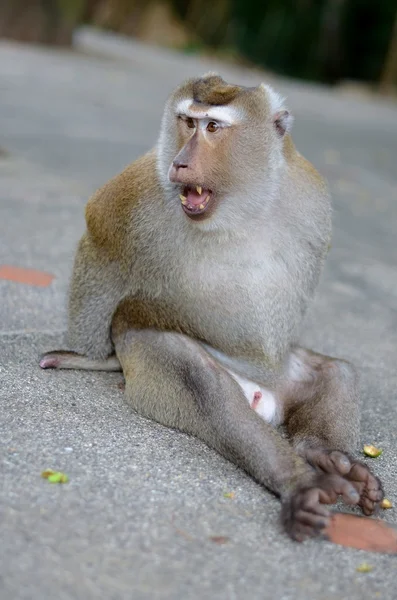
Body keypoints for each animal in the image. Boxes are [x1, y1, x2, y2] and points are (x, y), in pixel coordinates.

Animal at [38, 74, 382, 540]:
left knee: (336, 372)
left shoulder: (310, 194)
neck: (238, 207)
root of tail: (265, 399)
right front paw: (91, 356)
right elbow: (101, 239)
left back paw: (328, 457)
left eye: (213, 128)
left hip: (281, 376)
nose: (181, 162)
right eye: (187, 122)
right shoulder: (140, 188)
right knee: (206, 387)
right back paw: (300, 483)